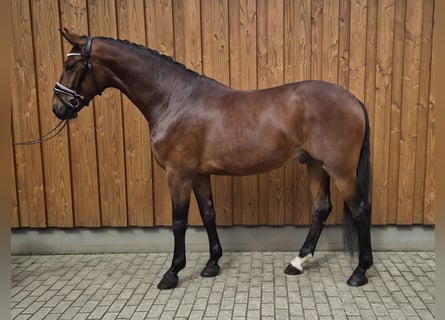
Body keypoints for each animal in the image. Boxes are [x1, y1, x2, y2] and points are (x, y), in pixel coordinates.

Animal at [51, 29, 372, 290]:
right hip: (317, 165)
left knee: (360, 210)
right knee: (321, 209)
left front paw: (172, 273)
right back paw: (297, 263)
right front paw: (212, 265)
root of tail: (354, 100)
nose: (58, 107)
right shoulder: (199, 175)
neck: (174, 100)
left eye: (70, 66)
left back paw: (359, 273)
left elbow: (179, 221)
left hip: (341, 170)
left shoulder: (178, 174)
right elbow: (208, 214)